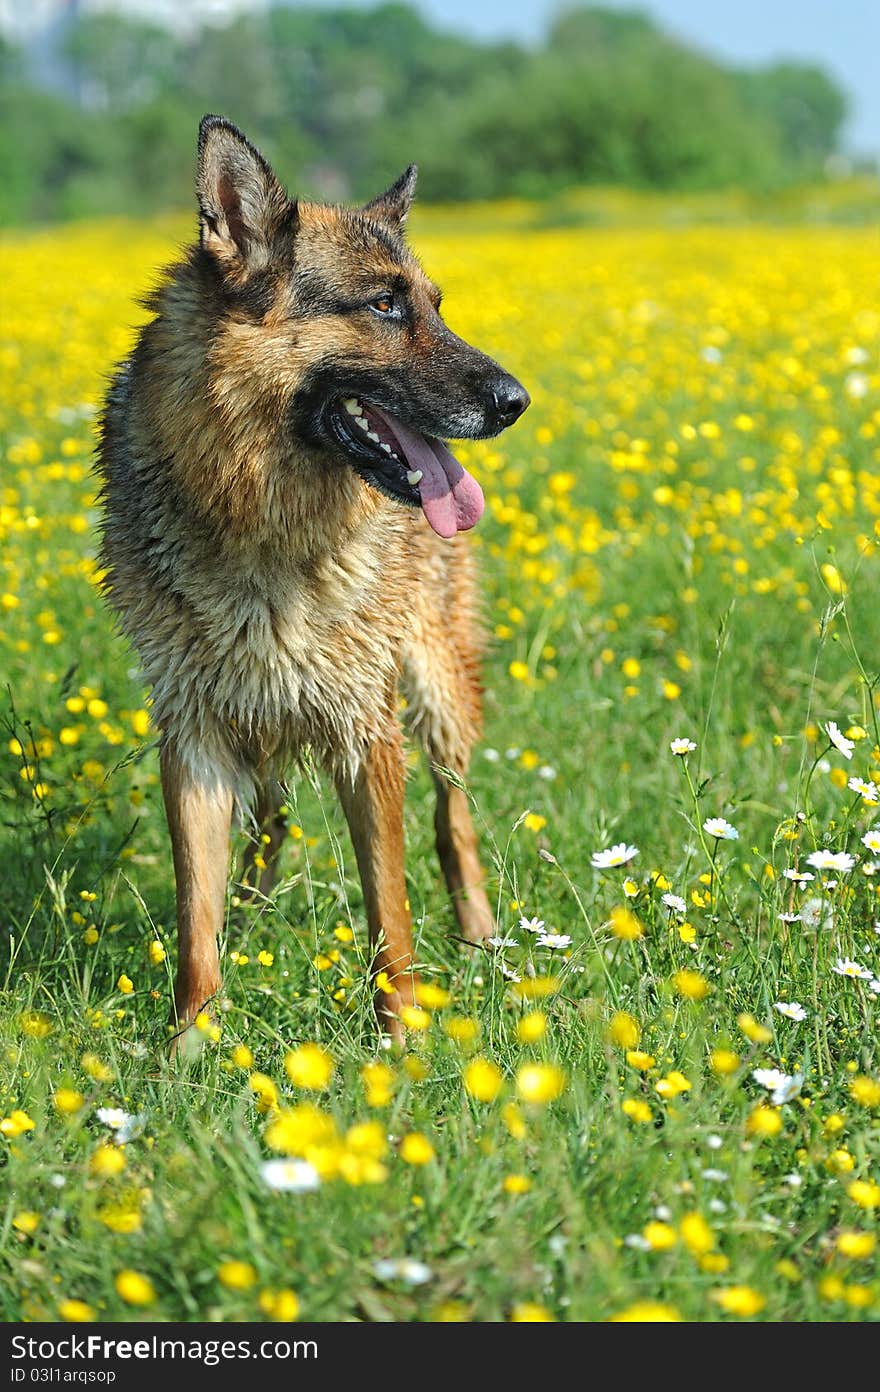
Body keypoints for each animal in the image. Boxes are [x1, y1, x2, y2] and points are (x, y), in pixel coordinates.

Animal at [99, 116, 531, 1046]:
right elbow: (195, 916)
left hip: (437, 694)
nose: (517, 401)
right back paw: (254, 919)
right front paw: (192, 1041)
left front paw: (402, 1036)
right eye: (383, 305)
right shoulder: (192, 736)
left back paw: (480, 937)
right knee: (268, 821)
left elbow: (389, 907)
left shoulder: (368, 730)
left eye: (434, 304)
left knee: (453, 821)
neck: (258, 513)